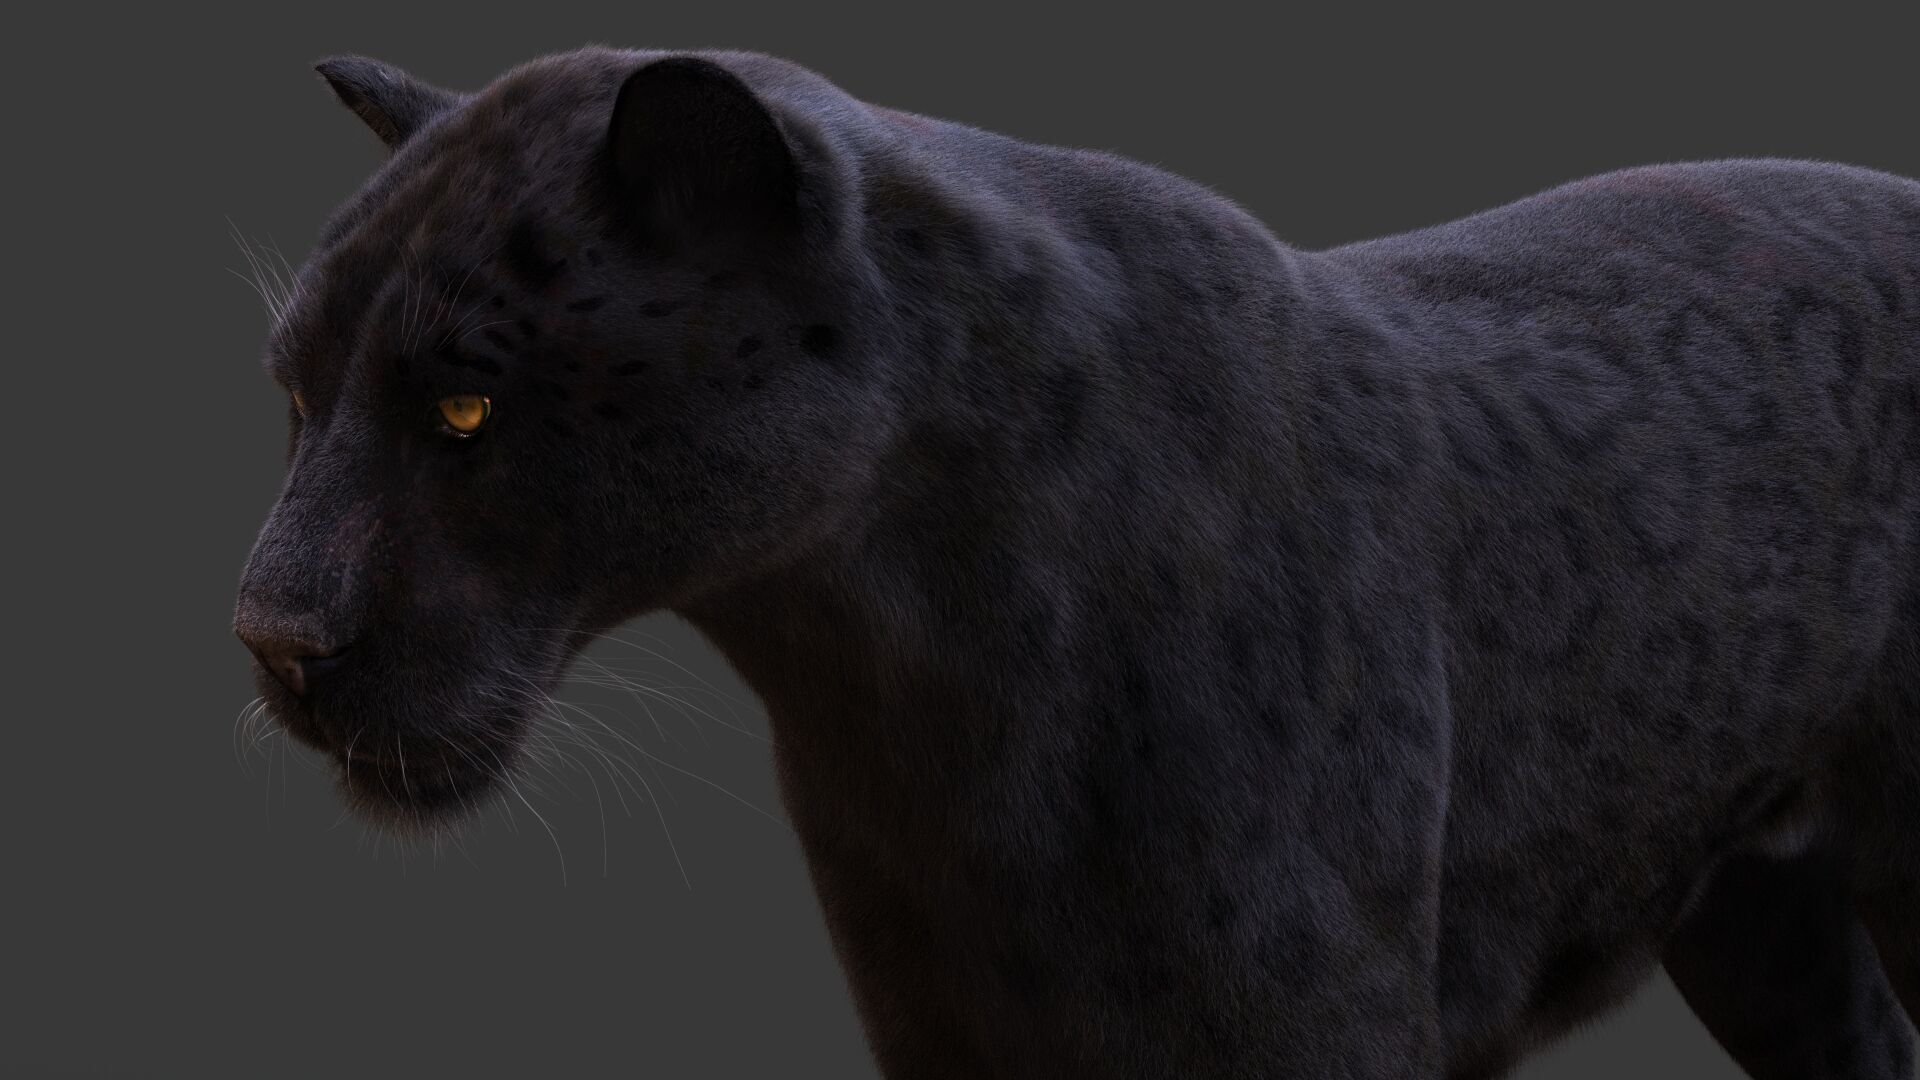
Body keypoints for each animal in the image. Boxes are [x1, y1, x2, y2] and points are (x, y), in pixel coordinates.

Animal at [233, 46, 1920, 1079]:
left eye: (466, 408)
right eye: (297, 392)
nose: (271, 633)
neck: (913, 679)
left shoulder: (1309, 1027)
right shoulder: (947, 1028)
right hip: (1763, 919)